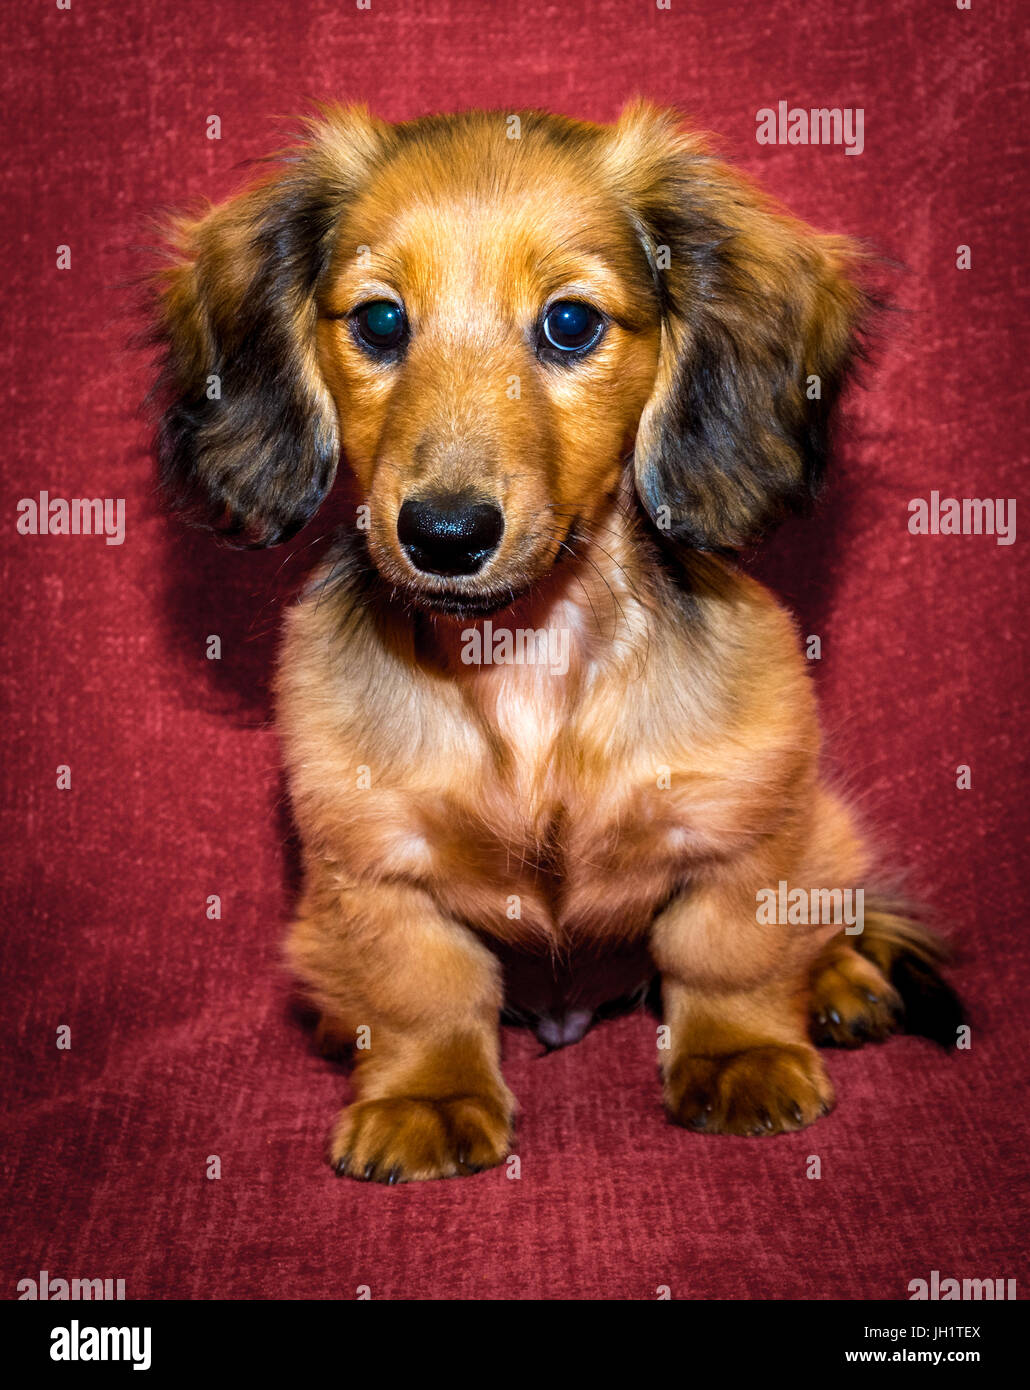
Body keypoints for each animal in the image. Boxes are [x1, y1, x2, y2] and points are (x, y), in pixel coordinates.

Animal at [148, 100, 961, 1184]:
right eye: (379, 321)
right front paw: (426, 1095)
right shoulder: (372, 862)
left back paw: (838, 979)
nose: (444, 535)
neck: (523, 653)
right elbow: (422, 988)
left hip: (822, 828)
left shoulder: (741, 822)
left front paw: (739, 1054)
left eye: (570, 323)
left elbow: (724, 949)